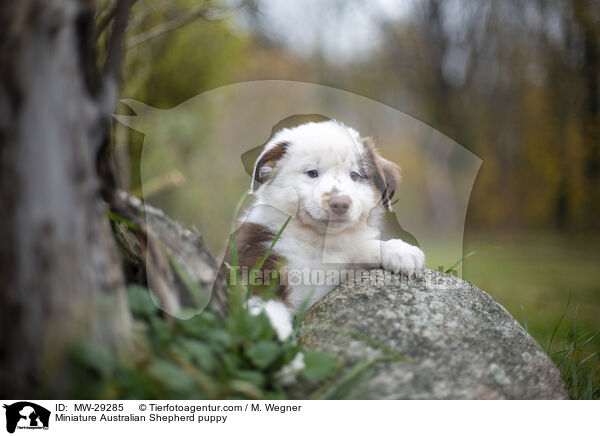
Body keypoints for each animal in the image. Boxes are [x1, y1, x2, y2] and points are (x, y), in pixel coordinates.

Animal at [223, 119, 424, 310]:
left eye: (355, 175)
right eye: (312, 173)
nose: (340, 204)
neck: (317, 242)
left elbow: (359, 249)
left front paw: (401, 251)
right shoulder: (254, 257)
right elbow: (264, 305)